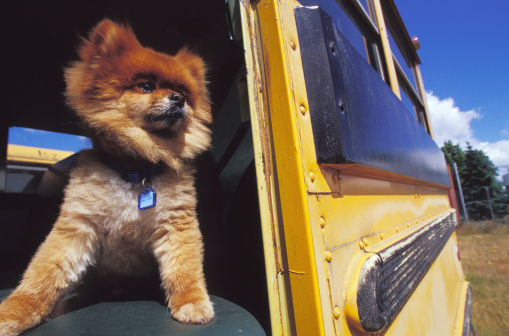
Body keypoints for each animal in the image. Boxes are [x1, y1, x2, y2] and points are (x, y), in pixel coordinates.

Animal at [0, 19, 213, 334]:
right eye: (146, 86)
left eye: (182, 91)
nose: (179, 99)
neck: (136, 167)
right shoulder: (77, 226)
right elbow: (43, 274)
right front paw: (16, 310)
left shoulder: (176, 224)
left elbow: (184, 269)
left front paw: (191, 301)